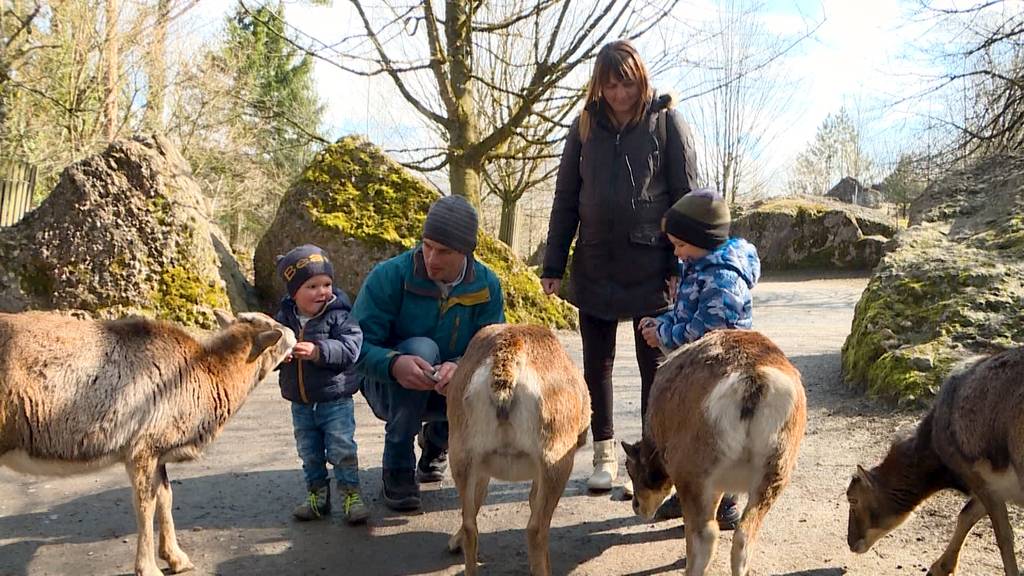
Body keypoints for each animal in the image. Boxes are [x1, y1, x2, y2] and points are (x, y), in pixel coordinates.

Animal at [0, 309, 296, 573]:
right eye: (274, 330)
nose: (293, 333)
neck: (204, 374)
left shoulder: (158, 455)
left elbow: (165, 496)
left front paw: (177, 559)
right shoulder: (141, 451)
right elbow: (145, 505)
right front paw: (148, 568)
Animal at [618, 327, 802, 573]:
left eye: (631, 468)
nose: (637, 507)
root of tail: (752, 381)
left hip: (696, 477)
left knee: (705, 535)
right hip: (774, 475)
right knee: (744, 535)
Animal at [847, 344, 1024, 573]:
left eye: (852, 498)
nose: (851, 543)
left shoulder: (978, 478)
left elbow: (1003, 536)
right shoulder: (998, 487)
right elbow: (966, 514)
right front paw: (940, 567)